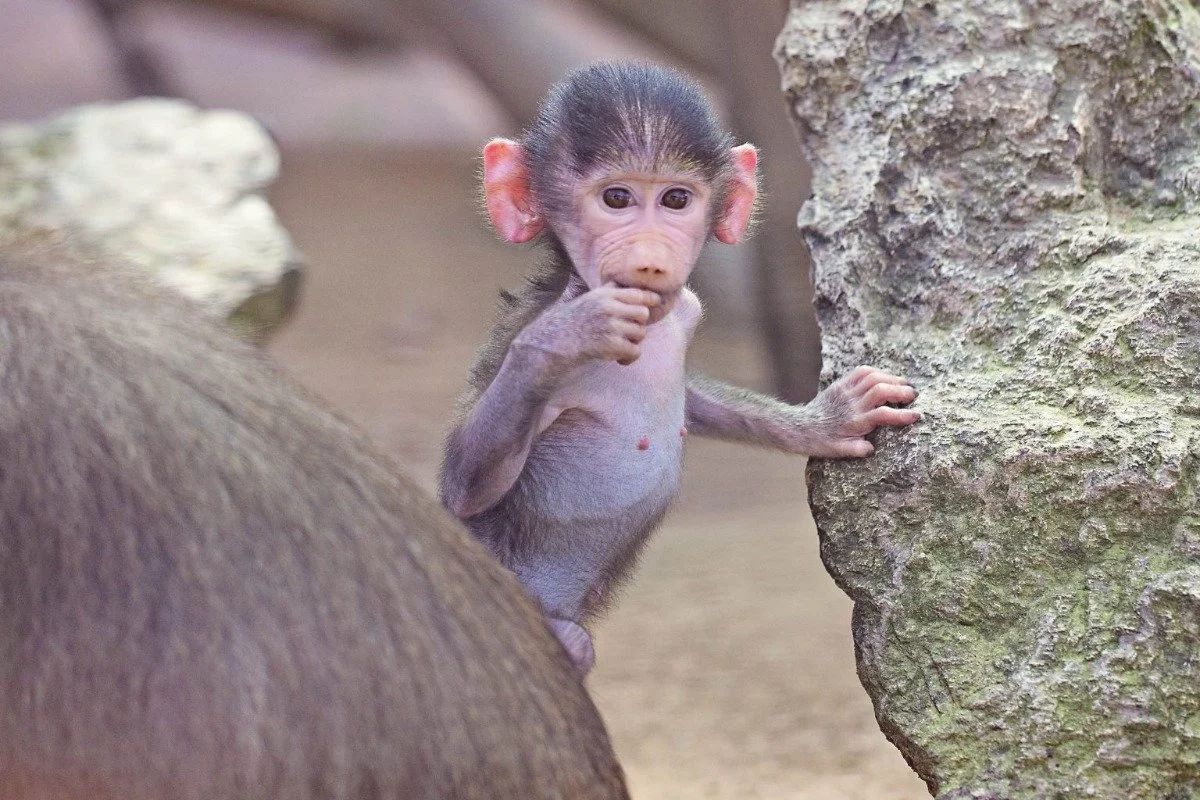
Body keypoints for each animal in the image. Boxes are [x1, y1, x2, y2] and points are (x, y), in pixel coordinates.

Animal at [440, 62, 921, 676]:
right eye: (616, 198)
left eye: (674, 199)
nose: (648, 257)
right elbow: (463, 488)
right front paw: (566, 334)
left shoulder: (686, 308)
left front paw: (827, 422)